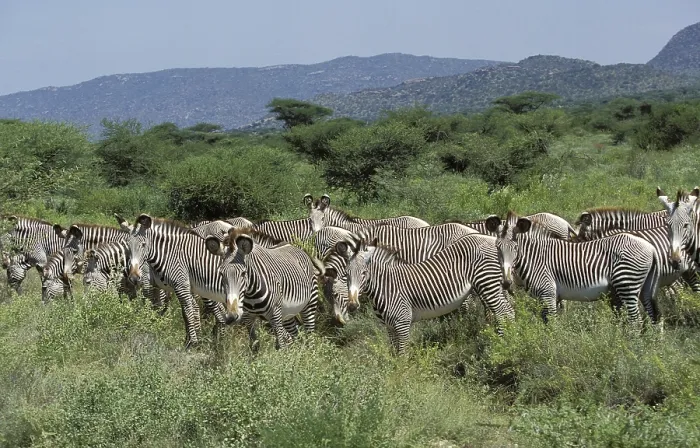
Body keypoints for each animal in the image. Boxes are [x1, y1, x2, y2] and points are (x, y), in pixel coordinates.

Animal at [122, 214, 238, 348]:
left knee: (219, 311)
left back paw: (218, 341)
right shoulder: (173, 287)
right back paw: (218, 340)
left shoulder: (157, 283)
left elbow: (182, 310)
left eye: (143, 244)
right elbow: (180, 310)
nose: (133, 277)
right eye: (128, 245)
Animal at [326, 233, 514, 354]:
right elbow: (394, 353)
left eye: (364, 273)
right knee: (508, 311)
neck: (386, 286)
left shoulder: (402, 323)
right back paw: (510, 337)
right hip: (494, 285)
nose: (352, 305)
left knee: (502, 313)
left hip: (487, 283)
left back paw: (501, 344)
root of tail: (492, 240)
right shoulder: (389, 326)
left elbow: (402, 355)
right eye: (347, 274)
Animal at [486, 212, 661, 325]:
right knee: (652, 315)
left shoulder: (547, 294)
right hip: (644, 287)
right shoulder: (547, 297)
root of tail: (651, 248)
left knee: (636, 321)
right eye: (497, 247)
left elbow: (552, 325)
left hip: (627, 284)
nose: (506, 283)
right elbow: (545, 324)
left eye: (516, 248)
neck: (534, 258)